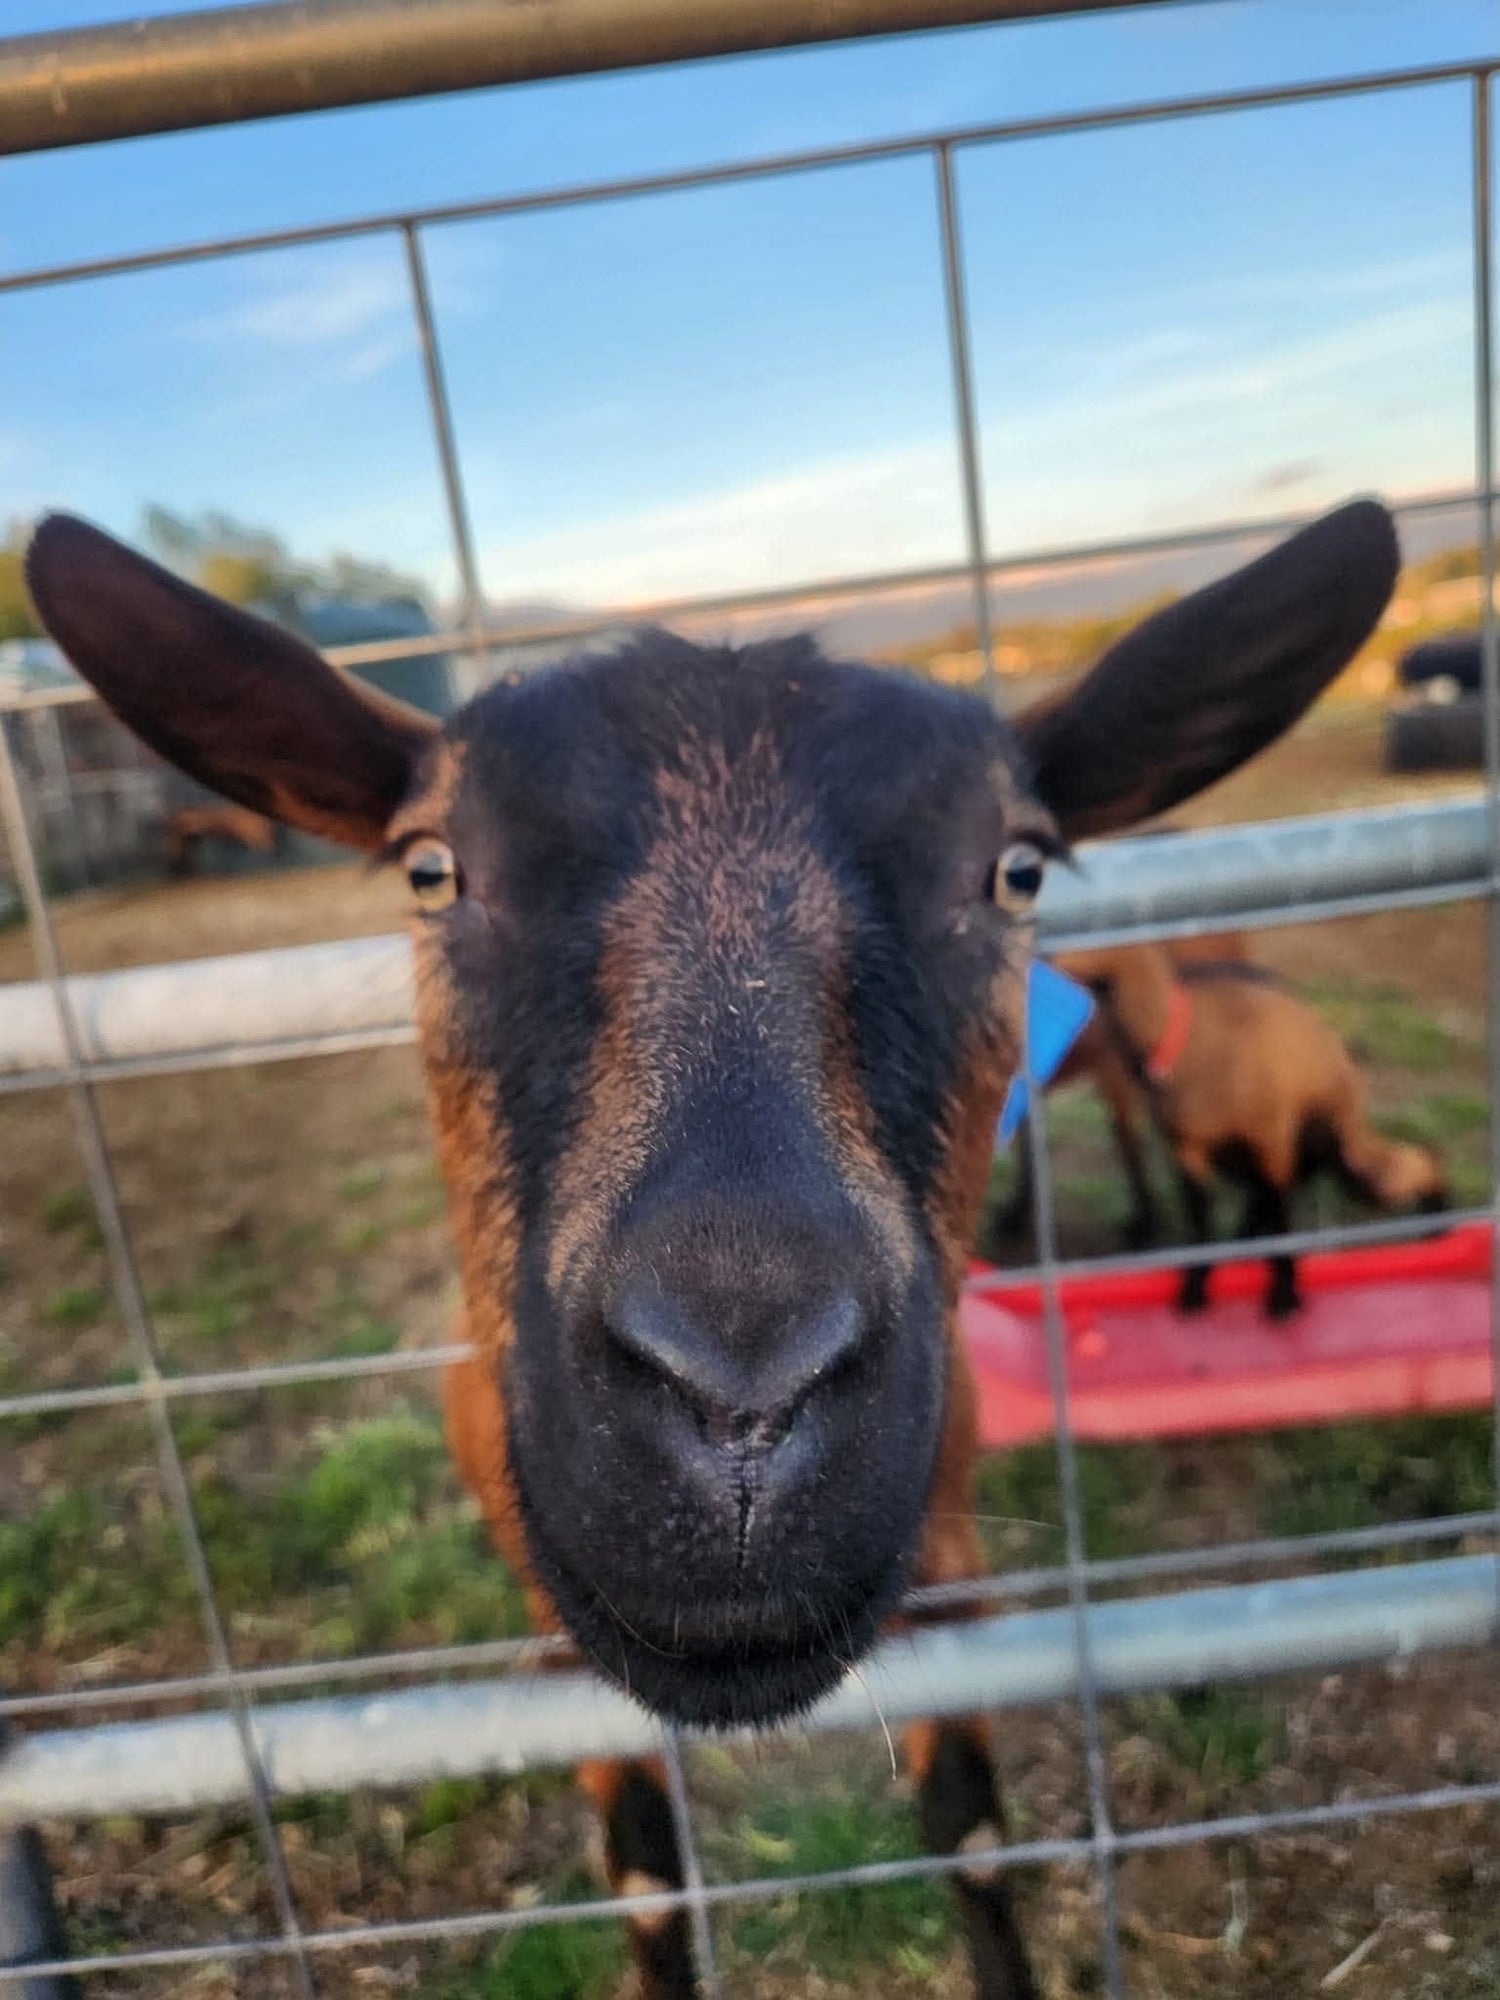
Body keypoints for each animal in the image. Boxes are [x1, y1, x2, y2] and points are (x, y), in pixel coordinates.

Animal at [25, 499, 1399, 1999]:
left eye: (1017, 866)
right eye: (434, 868)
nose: (742, 1395)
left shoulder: (946, 1553)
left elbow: (972, 1836)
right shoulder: (565, 1623)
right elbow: (646, 1883)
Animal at [1054, 940, 1446, 1321]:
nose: (1047, 961)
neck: (1183, 1039)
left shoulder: (1271, 1137)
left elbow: (1279, 1211)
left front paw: (1284, 1295)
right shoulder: (1186, 1147)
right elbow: (1200, 1214)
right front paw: (1196, 1287)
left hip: (1330, 1141)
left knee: (1396, 1166)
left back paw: (1438, 1218)